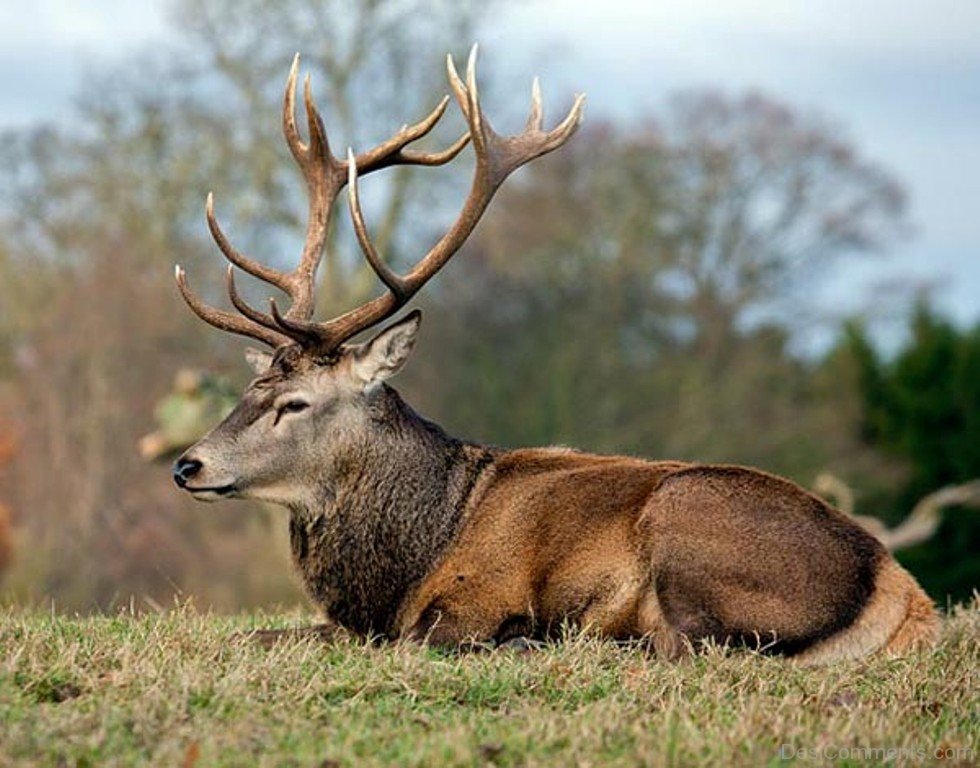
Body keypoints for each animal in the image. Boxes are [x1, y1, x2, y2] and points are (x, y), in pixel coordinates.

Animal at [172, 47, 939, 663]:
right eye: (249, 389)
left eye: (295, 403)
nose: (187, 464)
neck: (409, 563)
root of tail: (901, 596)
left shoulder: (471, 598)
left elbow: (410, 639)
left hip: (690, 526)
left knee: (691, 648)